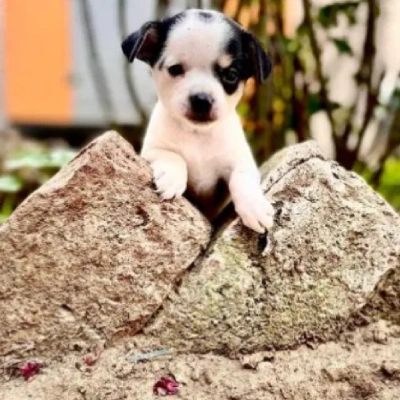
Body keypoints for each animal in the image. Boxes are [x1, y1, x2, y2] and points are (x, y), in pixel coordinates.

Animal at [120, 8, 274, 234]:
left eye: (231, 75)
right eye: (175, 69)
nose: (201, 99)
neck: (198, 135)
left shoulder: (240, 159)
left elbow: (242, 177)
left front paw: (254, 207)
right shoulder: (152, 150)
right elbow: (173, 157)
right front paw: (172, 178)